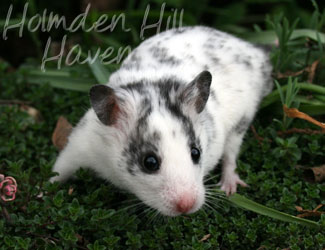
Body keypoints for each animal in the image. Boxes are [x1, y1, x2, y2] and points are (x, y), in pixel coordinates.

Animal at [50, 25, 272, 217]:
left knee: (231, 155)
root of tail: (253, 50)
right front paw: (47, 188)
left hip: (242, 120)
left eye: (196, 153)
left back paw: (229, 188)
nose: (187, 206)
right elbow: (60, 168)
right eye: (149, 162)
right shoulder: (80, 144)